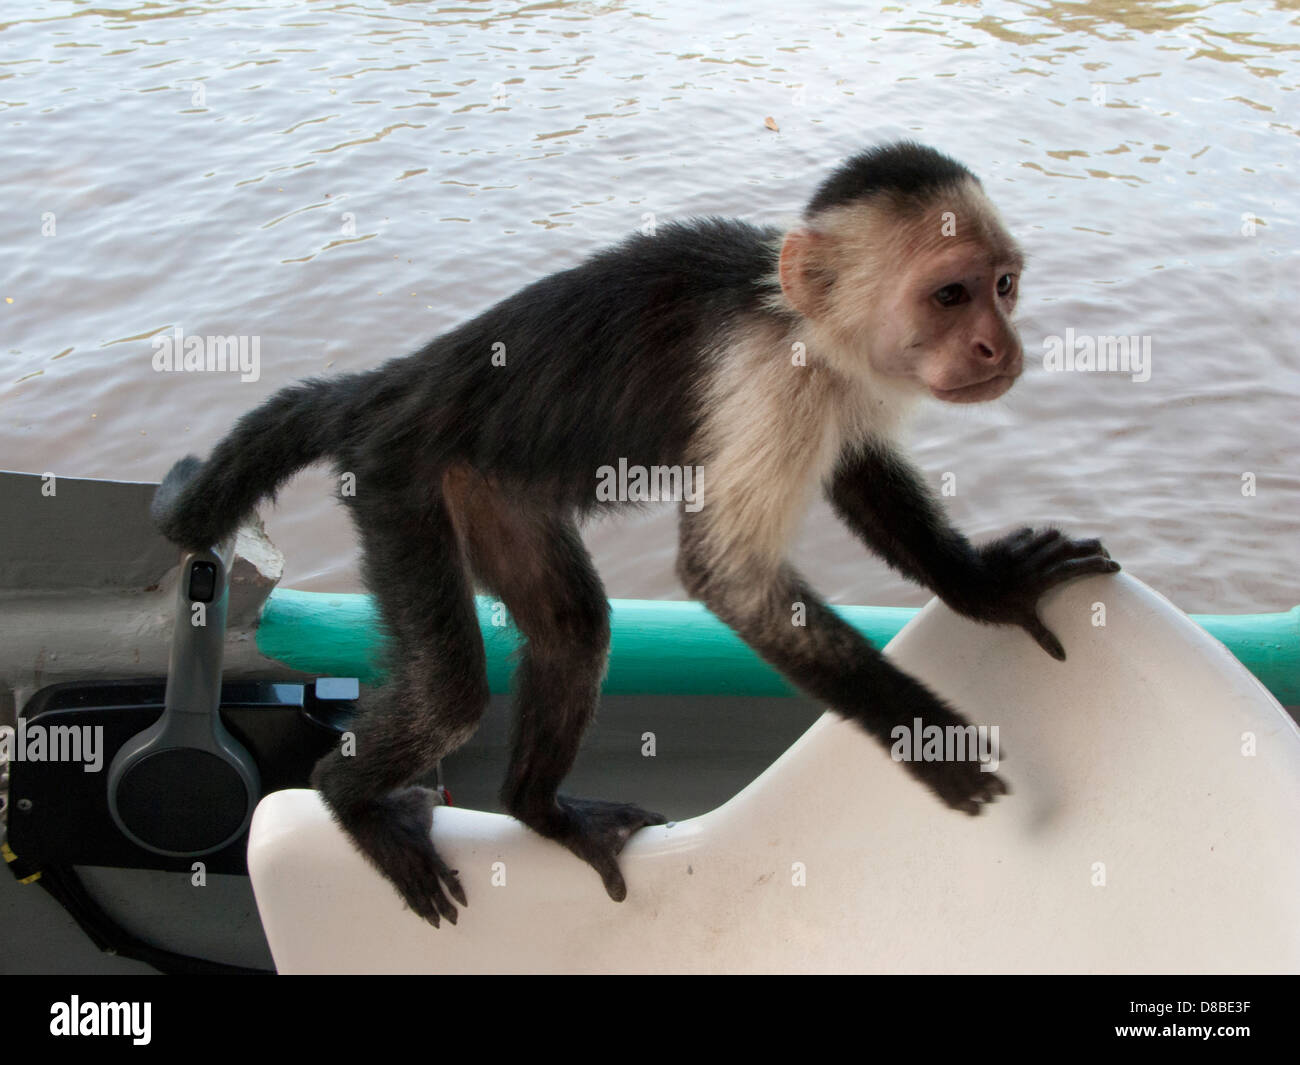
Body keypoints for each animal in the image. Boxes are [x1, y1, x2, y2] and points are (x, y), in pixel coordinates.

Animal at [149, 141, 1118, 925]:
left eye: (1004, 286)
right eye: (950, 294)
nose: (1000, 345)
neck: (797, 319)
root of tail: (396, 384)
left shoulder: (841, 385)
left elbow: (862, 478)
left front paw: (988, 589)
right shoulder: (773, 380)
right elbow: (728, 577)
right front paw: (926, 737)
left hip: (486, 487)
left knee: (574, 625)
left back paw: (539, 809)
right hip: (397, 480)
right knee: (454, 690)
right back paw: (353, 800)